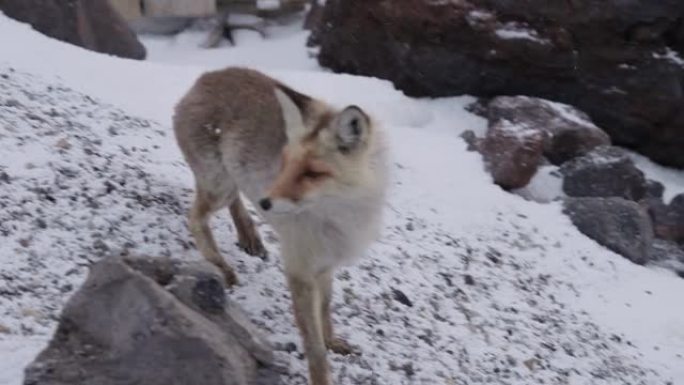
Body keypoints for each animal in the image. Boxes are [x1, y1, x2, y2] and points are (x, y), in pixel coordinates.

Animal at [172, 67, 390, 382]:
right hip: (219, 187)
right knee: (196, 219)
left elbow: (325, 310)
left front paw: (331, 340)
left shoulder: (326, 264)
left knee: (233, 202)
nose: (265, 202)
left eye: (313, 173)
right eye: (285, 162)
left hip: (229, 183)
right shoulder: (299, 270)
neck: (339, 219)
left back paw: (249, 235)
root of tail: (208, 75)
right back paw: (222, 266)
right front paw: (321, 376)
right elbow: (314, 348)